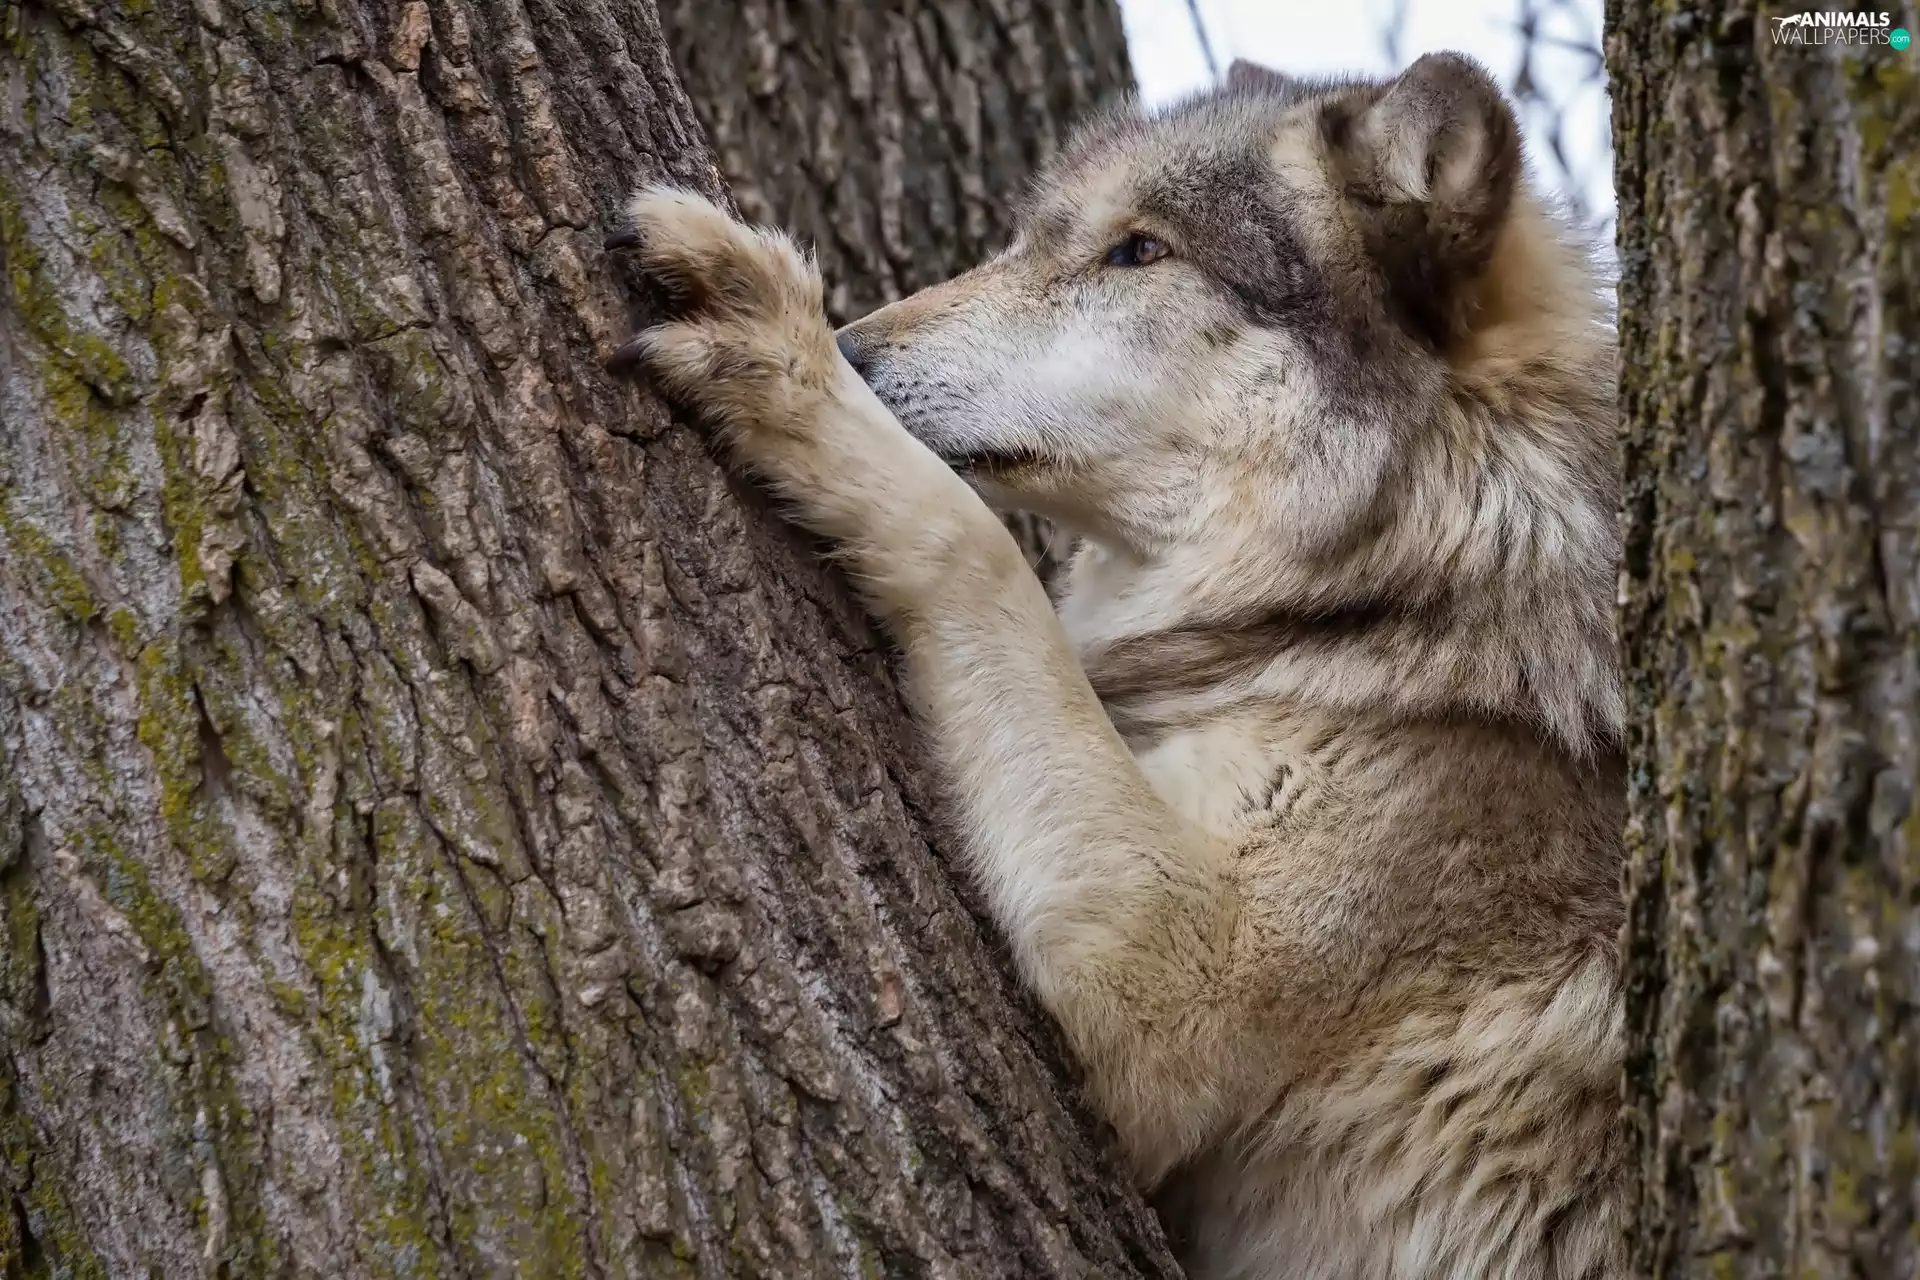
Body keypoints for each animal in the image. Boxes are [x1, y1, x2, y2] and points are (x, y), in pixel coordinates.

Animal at [608, 50, 1625, 1280]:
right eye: (1027, 239)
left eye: (1138, 251)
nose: (854, 347)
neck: (1406, 579)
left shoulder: (1170, 973)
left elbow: (977, 545)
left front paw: (785, 351)